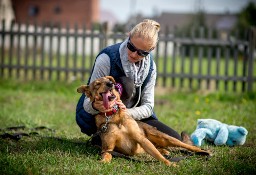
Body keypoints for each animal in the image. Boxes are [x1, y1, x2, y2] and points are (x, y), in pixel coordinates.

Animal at [77, 76, 210, 166]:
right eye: (97, 84)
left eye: (109, 81)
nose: (111, 84)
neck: (113, 115)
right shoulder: (107, 148)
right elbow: (106, 156)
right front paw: (102, 162)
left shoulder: (141, 139)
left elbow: (157, 155)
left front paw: (169, 164)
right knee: (161, 148)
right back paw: (165, 151)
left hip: (165, 138)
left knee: (186, 146)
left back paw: (203, 152)